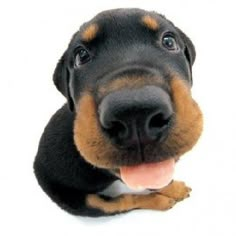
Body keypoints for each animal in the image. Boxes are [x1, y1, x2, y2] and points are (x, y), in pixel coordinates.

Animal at [33, 7, 203, 218]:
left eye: (169, 41)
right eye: (81, 56)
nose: (136, 115)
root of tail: (36, 162)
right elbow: (156, 182)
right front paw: (174, 189)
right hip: (79, 199)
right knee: (124, 201)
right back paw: (159, 202)